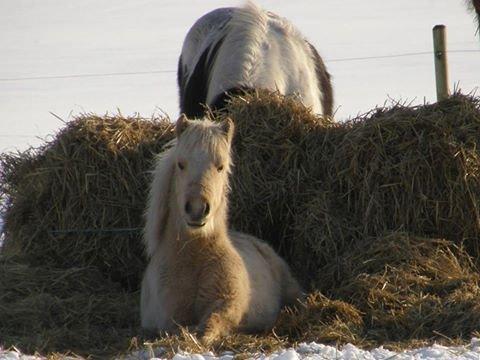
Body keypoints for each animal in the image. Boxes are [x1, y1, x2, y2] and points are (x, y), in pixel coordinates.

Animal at [141, 116, 302, 344]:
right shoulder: (169, 315)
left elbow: (211, 324)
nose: (197, 209)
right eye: (181, 164)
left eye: (221, 166)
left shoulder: (227, 304)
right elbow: (179, 328)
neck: (194, 261)